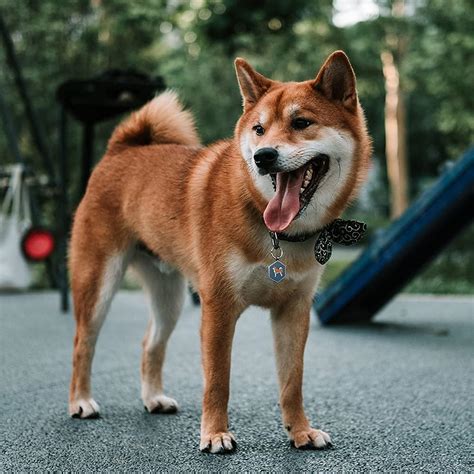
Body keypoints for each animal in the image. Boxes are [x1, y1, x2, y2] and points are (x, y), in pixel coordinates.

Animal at [67, 50, 370, 454]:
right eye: (258, 129)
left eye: (302, 123)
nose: (263, 156)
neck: (276, 233)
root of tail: (121, 152)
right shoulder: (218, 308)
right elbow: (218, 380)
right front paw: (214, 434)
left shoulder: (294, 310)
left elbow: (292, 382)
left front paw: (301, 431)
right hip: (98, 284)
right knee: (83, 343)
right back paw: (81, 401)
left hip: (170, 298)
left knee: (150, 344)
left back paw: (153, 398)